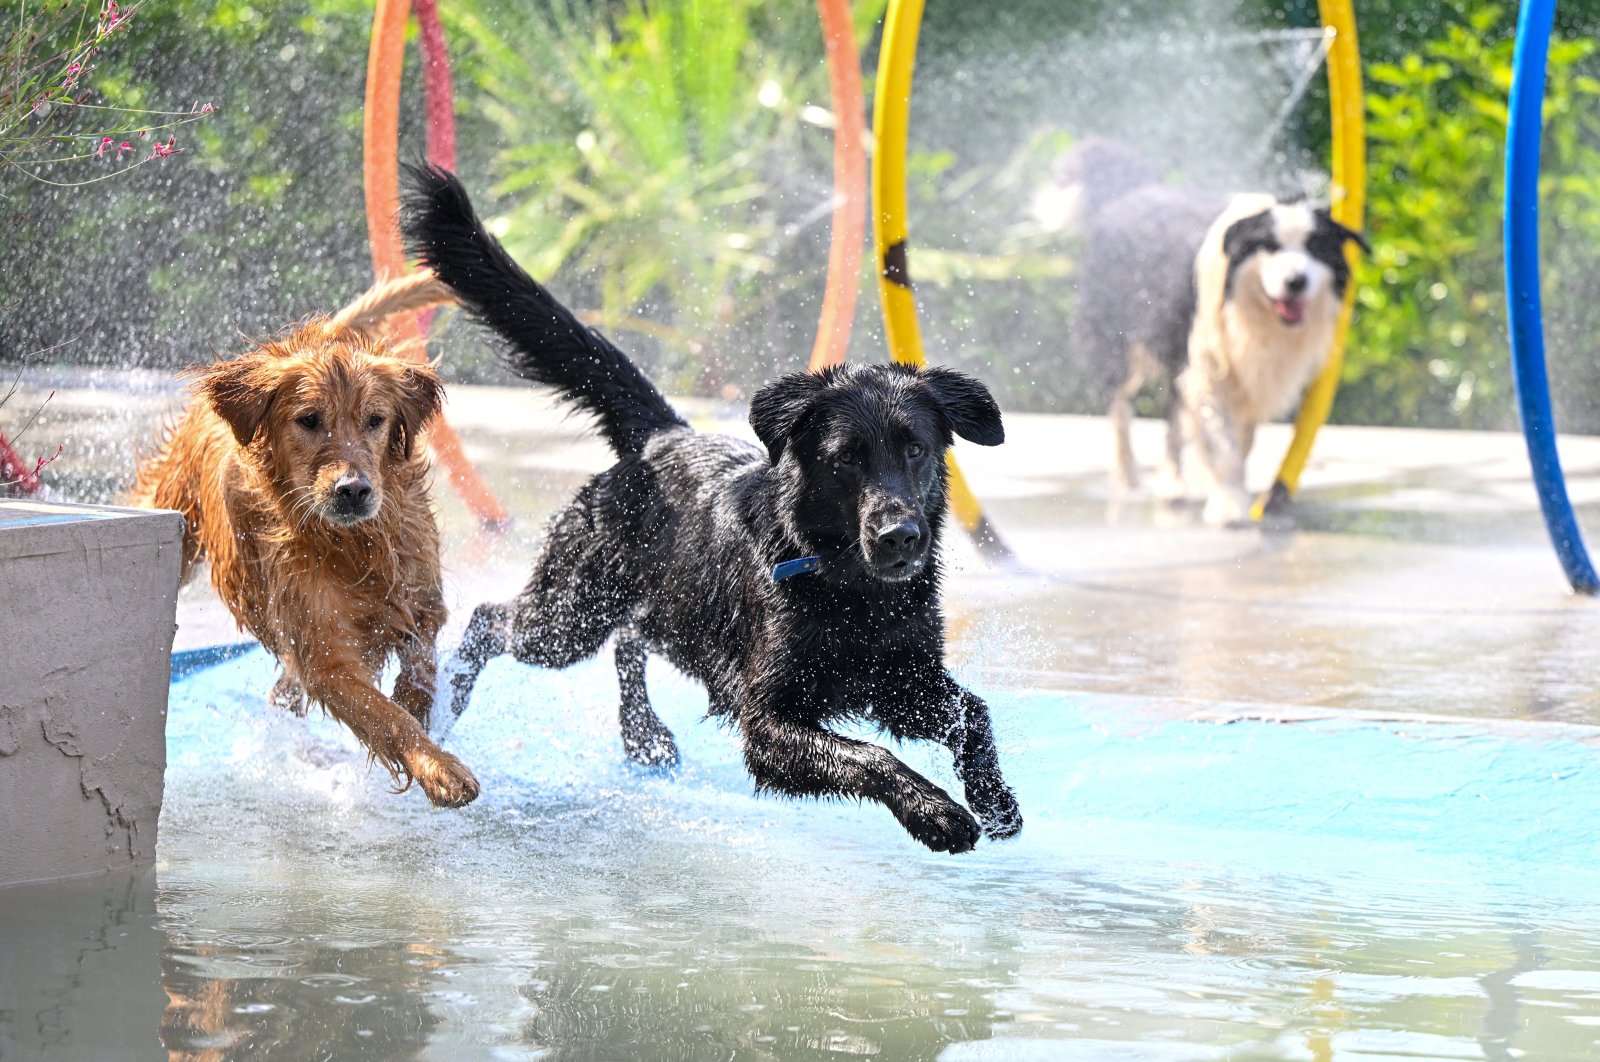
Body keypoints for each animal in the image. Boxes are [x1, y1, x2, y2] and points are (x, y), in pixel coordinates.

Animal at [400, 166, 1024, 857]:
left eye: (915, 449)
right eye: (845, 459)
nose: (900, 537)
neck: (845, 585)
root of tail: (662, 438)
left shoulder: (903, 679)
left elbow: (973, 712)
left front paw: (995, 801)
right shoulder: (768, 723)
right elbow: (868, 756)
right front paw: (935, 812)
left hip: (660, 610)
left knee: (630, 636)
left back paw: (643, 733)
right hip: (570, 616)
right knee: (490, 621)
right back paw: (445, 709)